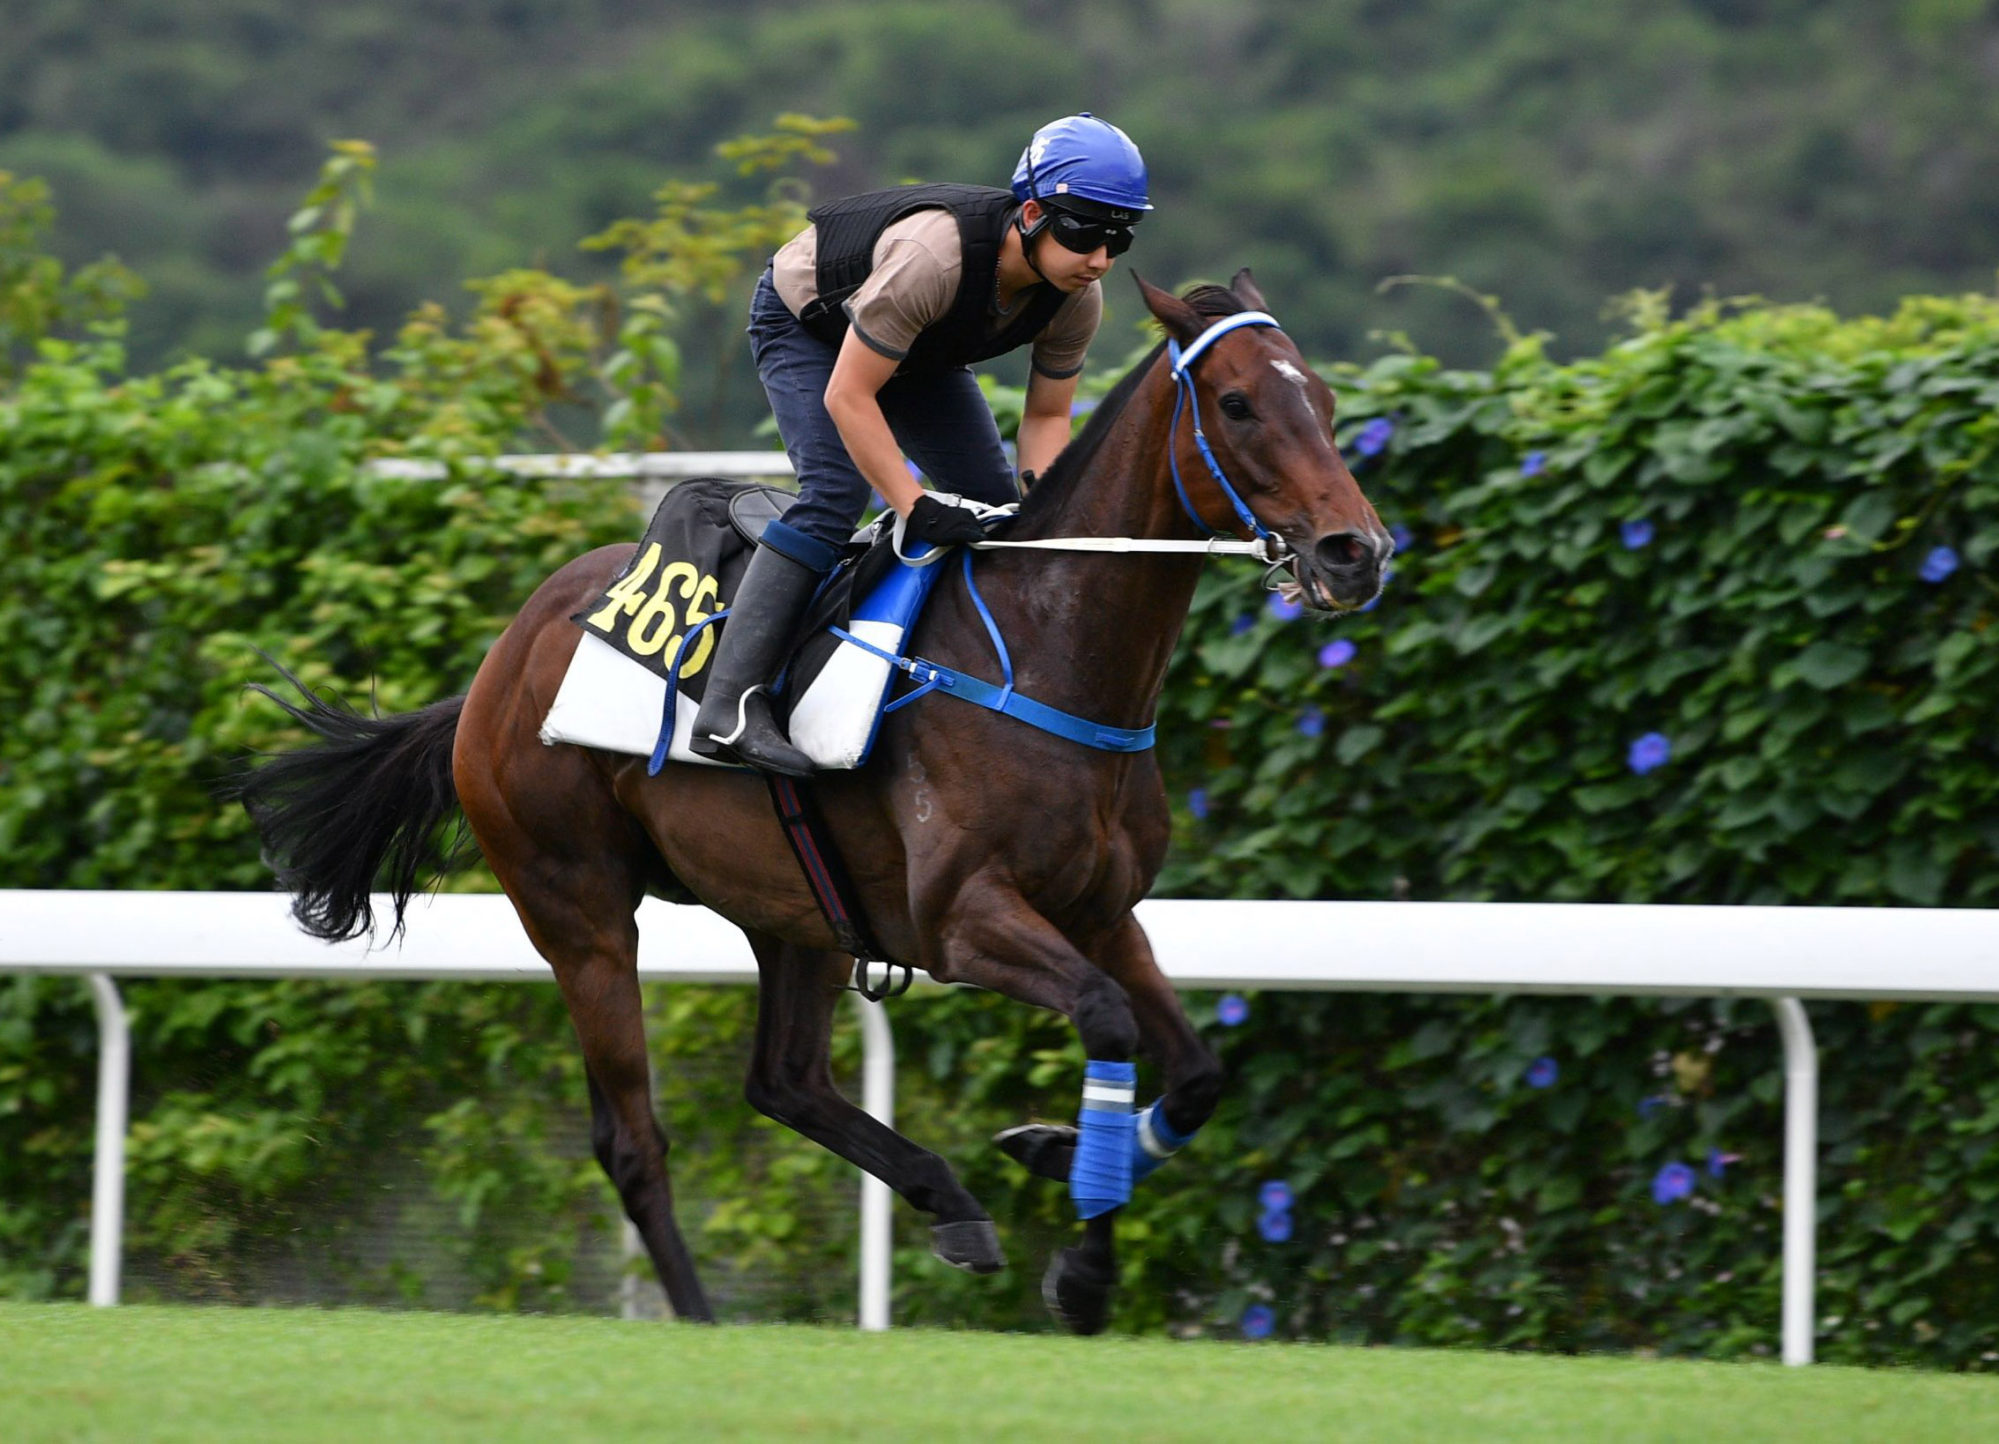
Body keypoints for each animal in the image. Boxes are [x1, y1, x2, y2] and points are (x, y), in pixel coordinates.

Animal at [233, 270, 1383, 1328]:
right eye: (1236, 403)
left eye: (1325, 400)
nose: (1355, 551)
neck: (1049, 651)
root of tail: (494, 668)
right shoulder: (964, 918)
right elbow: (1105, 1018)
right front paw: (1086, 1266)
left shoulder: (1101, 910)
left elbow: (1194, 1075)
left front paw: (1052, 1153)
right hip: (578, 910)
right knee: (632, 1138)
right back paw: (702, 1317)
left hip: (795, 909)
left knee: (782, 1080)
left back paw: (947, 1201)